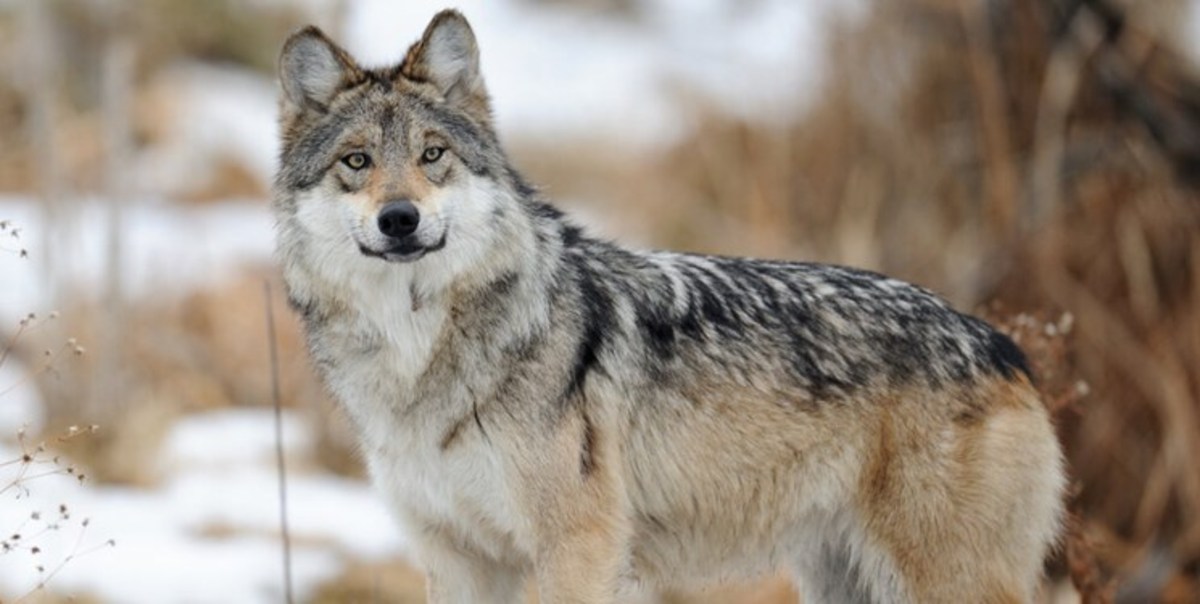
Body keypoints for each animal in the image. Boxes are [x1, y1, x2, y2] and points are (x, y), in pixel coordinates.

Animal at [276, 10, 1065, 604]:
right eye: (356, 162)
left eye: (433, 154)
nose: (400, 219)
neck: (417, 354)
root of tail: (1003, 346)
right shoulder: (458, 559)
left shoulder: (579, 548)